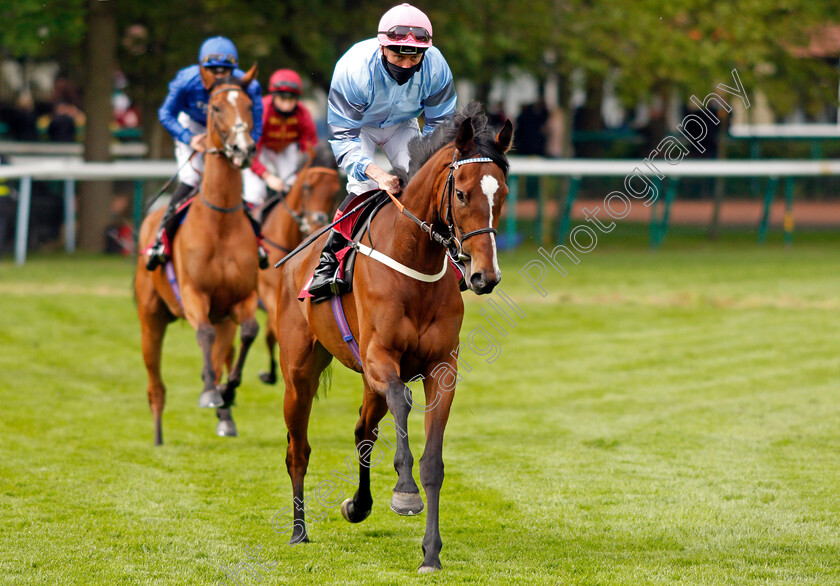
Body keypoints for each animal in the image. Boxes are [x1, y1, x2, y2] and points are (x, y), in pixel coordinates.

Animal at [135, 66, 260, 442]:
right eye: (216, 108)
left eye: (249, 105)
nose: (243, 148)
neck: (220, 222)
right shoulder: (192, 293)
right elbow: (202, 334)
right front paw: (208, 392)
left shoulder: (243, 297)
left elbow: (250, 331)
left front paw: (227, 392)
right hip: (150, 318)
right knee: (155, 383)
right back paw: (159, 435)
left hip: (223, 320)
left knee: (222, 352)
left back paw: (226, 415)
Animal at [276, 105, 512, 572]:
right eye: (461, 194)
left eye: (503, 194)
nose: (485, 276)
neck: (414, 262)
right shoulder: (380, 357)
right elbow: (403, 400)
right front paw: (404, 493)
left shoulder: (441, 368)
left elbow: (433, 461)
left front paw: (431, 553)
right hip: (299, 375)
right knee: (299, 449)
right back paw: (298, 531)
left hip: (367, 384)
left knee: (363, 431)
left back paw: (358, 505)